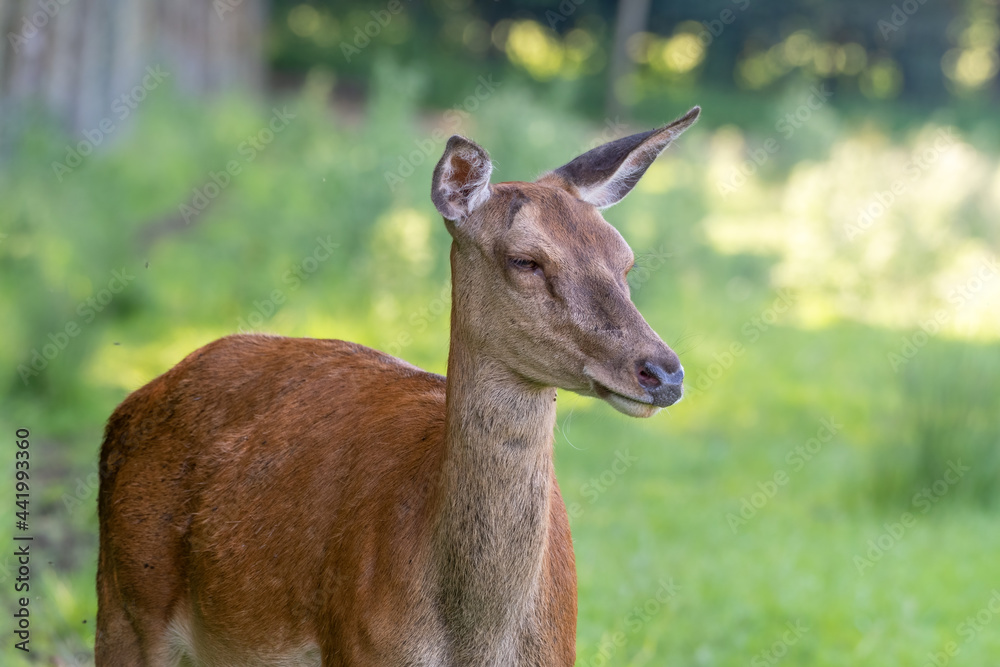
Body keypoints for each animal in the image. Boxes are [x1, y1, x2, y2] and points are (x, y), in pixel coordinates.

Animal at [95, 105, 700, 666]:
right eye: (525, 260)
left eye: (625, 261)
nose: (663, 371)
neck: (474, 643)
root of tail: (128, 406)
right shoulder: (355, 647)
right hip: (123, 601)